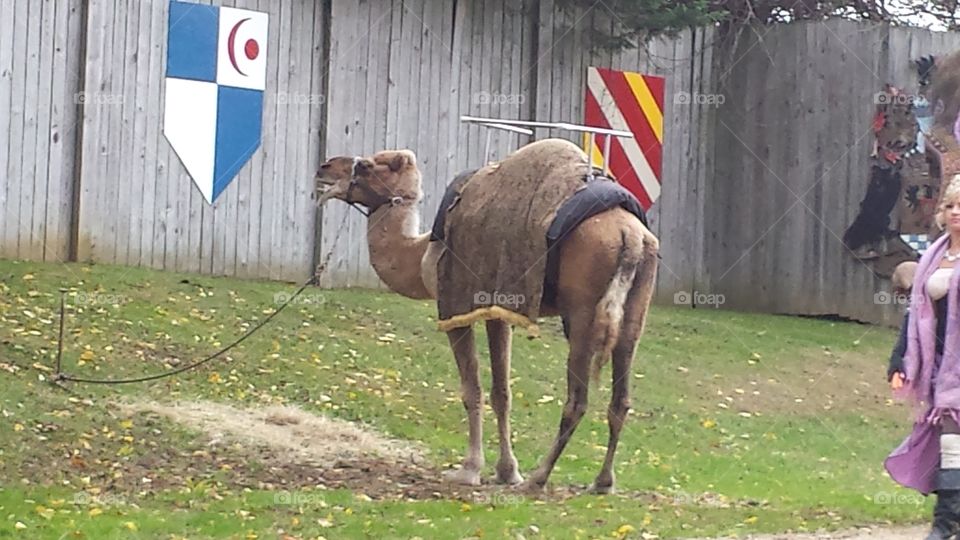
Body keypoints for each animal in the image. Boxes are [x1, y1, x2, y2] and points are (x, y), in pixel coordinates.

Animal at [316, 140, 660, 494]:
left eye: (368, 166)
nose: (324, 168)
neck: (423, 250)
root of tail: (631, 236)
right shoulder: (498, 309)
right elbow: (502, 392)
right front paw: (507, 471)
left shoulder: (456, 307)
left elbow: (472, 389)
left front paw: (469, 470)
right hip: (634, 312)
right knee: (621, 398)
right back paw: (602, 482)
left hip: (582, 314)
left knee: (577, 398)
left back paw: (539, 478)